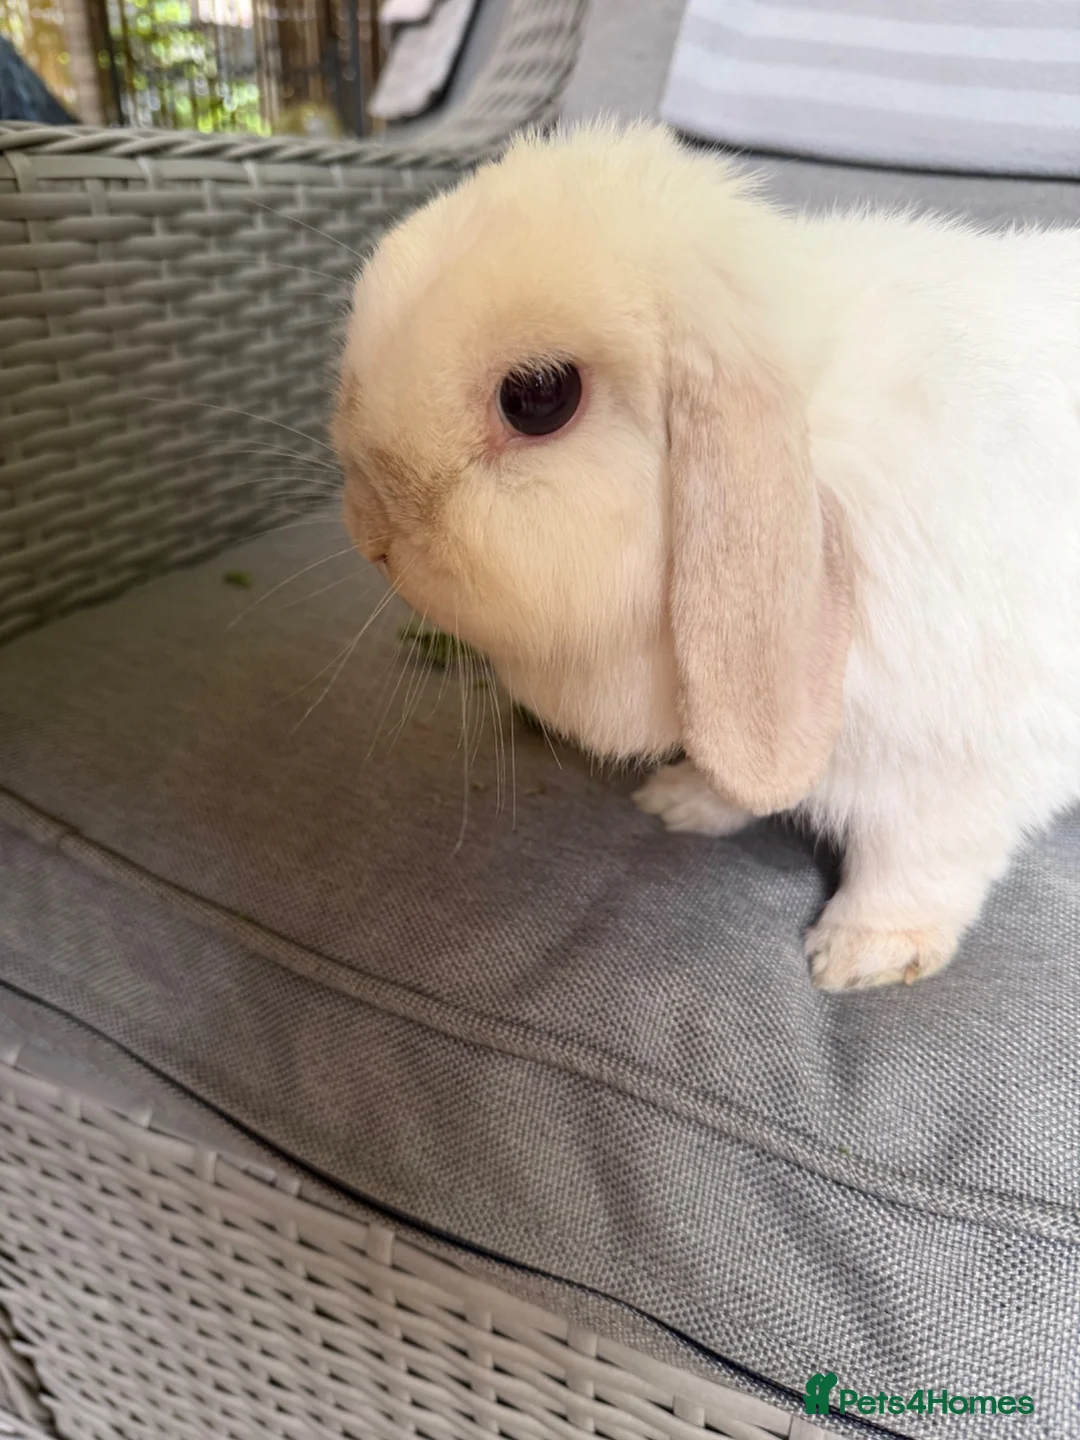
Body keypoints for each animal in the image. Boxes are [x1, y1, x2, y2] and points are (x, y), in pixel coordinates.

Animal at [332, 121, 1080, 991]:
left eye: (538, 398)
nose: (371, 535)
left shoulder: (959, 765)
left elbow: (916, 862)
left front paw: (860, 958)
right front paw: (680, 801)